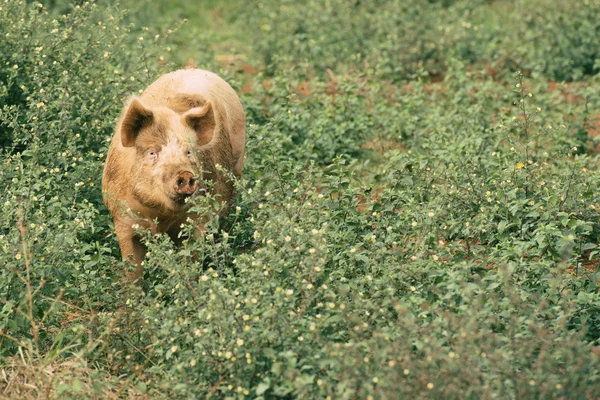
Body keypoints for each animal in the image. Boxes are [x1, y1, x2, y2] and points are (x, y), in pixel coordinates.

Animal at [103, 68, 246, 282]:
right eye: (152, 152)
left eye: (188, 152)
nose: (185, 174)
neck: (161, 215)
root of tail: (199, 70)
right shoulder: (123, 218)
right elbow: (132, 268)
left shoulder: (198, 217)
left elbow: (191, 258)